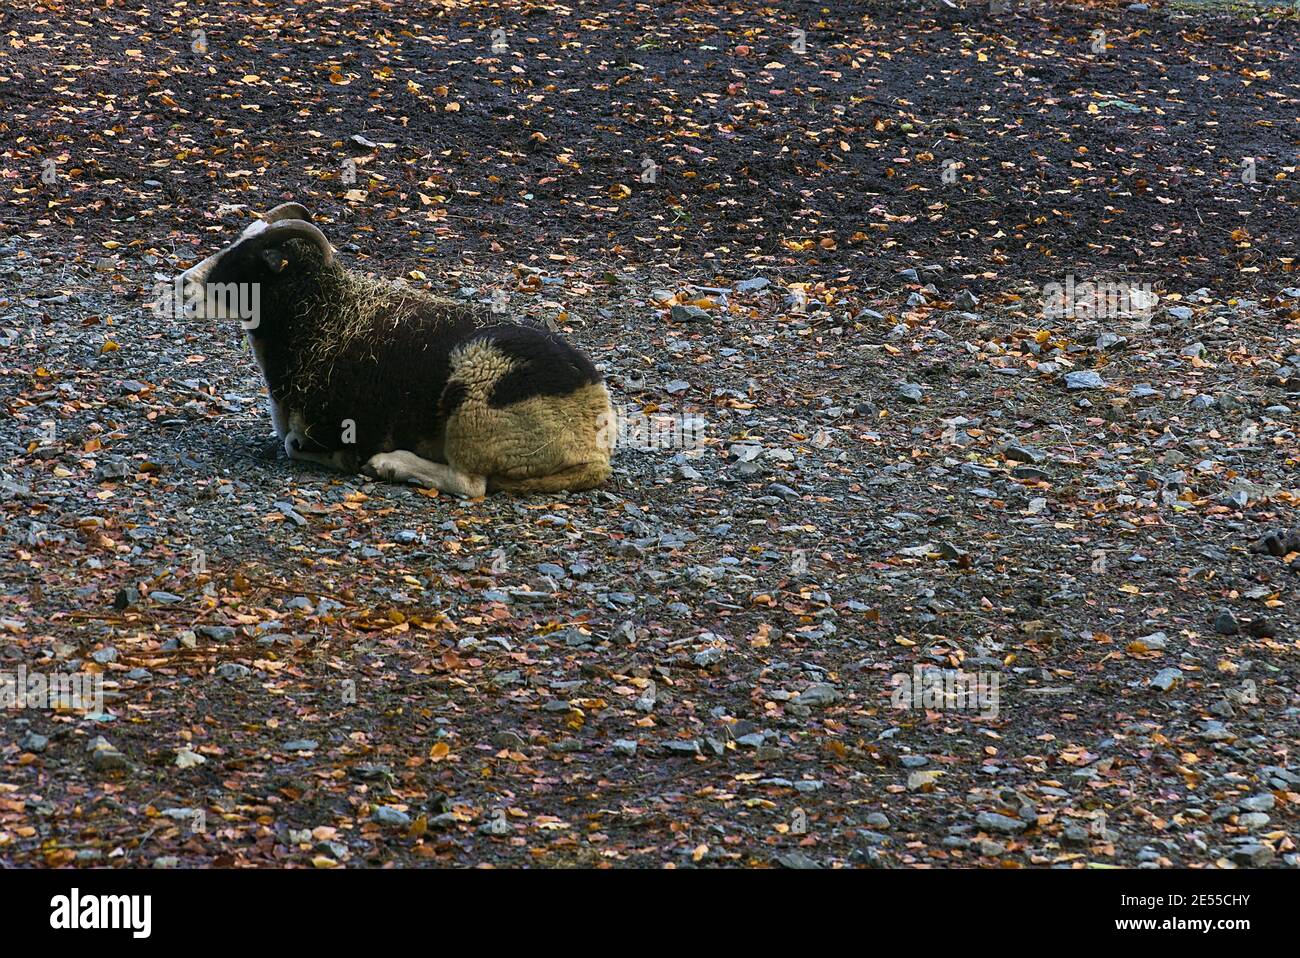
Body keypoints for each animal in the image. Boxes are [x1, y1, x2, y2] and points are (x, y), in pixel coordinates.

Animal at [175, 202, 614, 497]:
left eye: (252, 261)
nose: (183, 283)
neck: (327, 316)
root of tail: (595, 437)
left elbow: (292, 446)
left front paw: (350, 460)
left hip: (475, 409)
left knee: (469, 485)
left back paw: (388, 464)